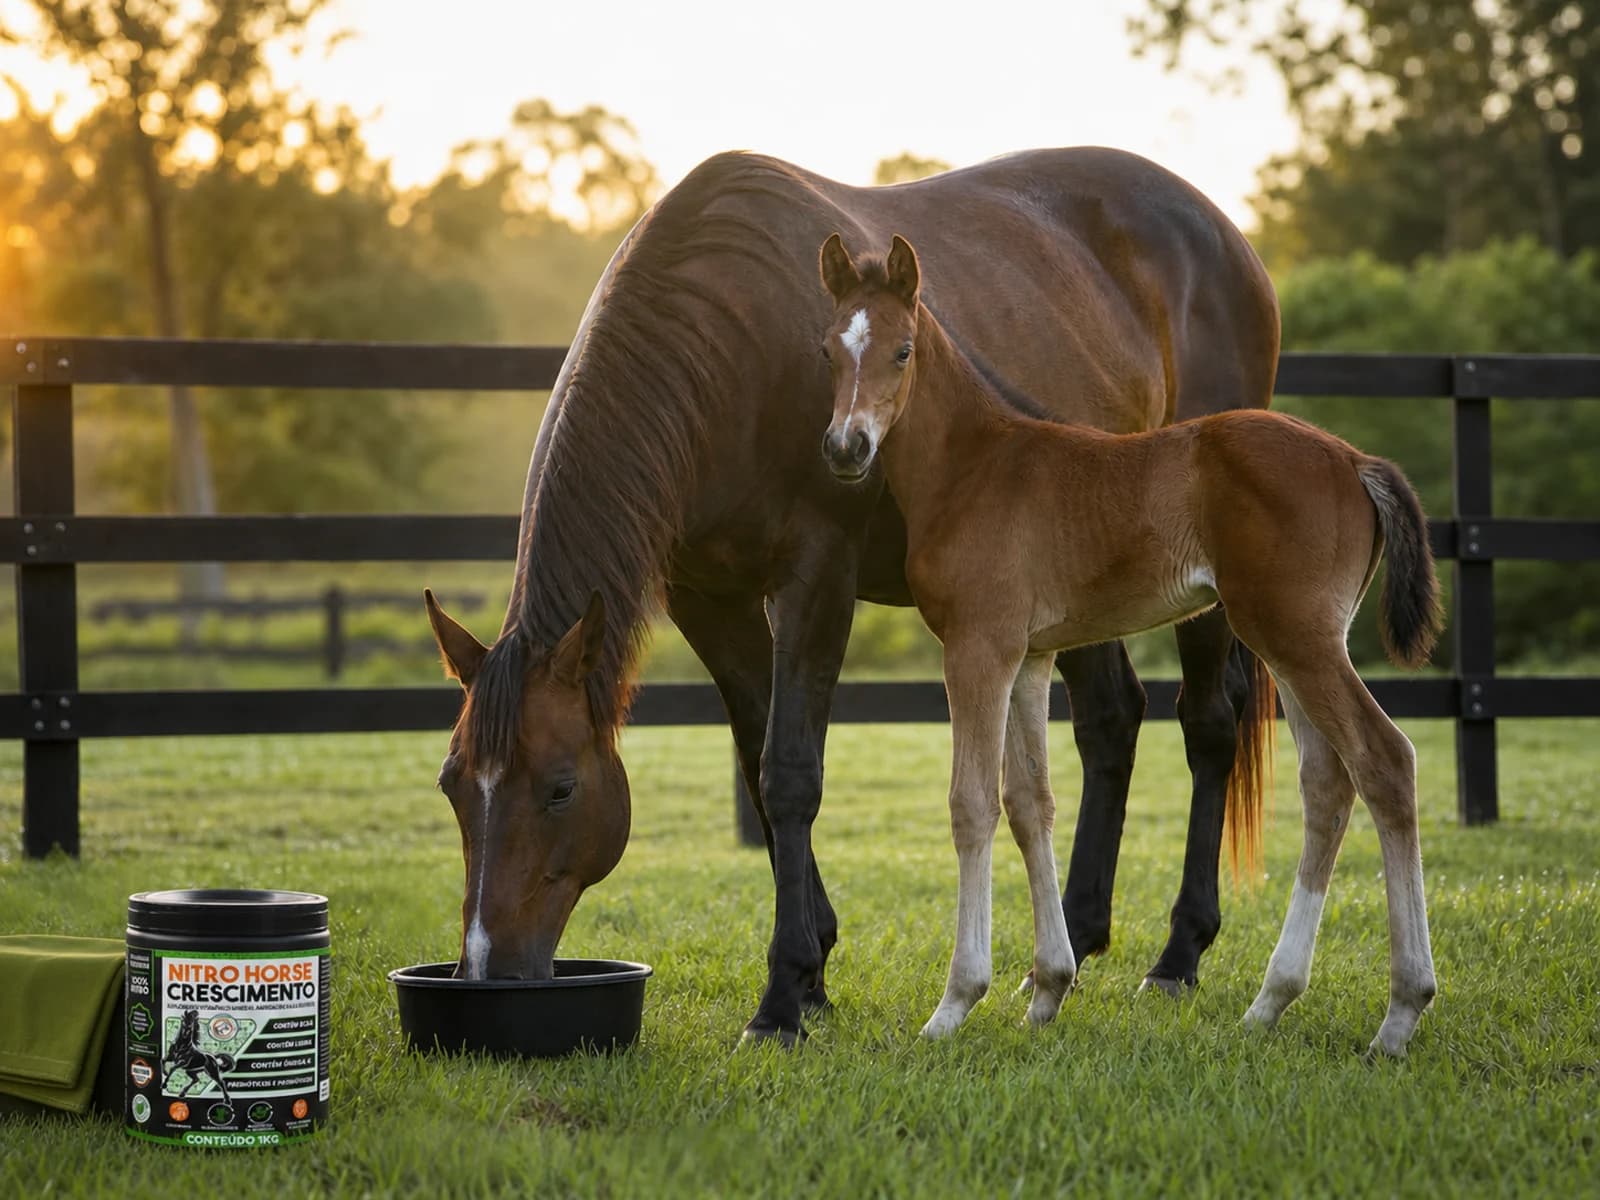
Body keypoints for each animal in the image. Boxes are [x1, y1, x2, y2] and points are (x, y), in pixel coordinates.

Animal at [422, 148, 1281, 1044]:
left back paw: (1177, 955)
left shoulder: (816, 576)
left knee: (1206, 726)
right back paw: (1070, 946)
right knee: (1110, 718)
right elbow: (757, 764)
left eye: (560, 788)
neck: (726, 347)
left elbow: (791, 772)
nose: (488, 973)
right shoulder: (707, 597)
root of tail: (1228, 237)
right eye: (452, 784)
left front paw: (782, 997)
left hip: (1197, 589)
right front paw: (814, 970)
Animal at [815, 233, 1441, 1055]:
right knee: (1328, 785)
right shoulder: (1029, 657)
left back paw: (1400, 1013)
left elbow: (971, 803)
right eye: (829, 349)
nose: (845, 447)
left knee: (1386, 762)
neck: (975, 466)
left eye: (902, 350)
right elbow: (1030, 802)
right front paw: (1049, 987)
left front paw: (955, 1002)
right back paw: (1271, 1001)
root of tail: (1355, 461)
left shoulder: (978, 648)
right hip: (1297, 643)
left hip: (1296, 637)